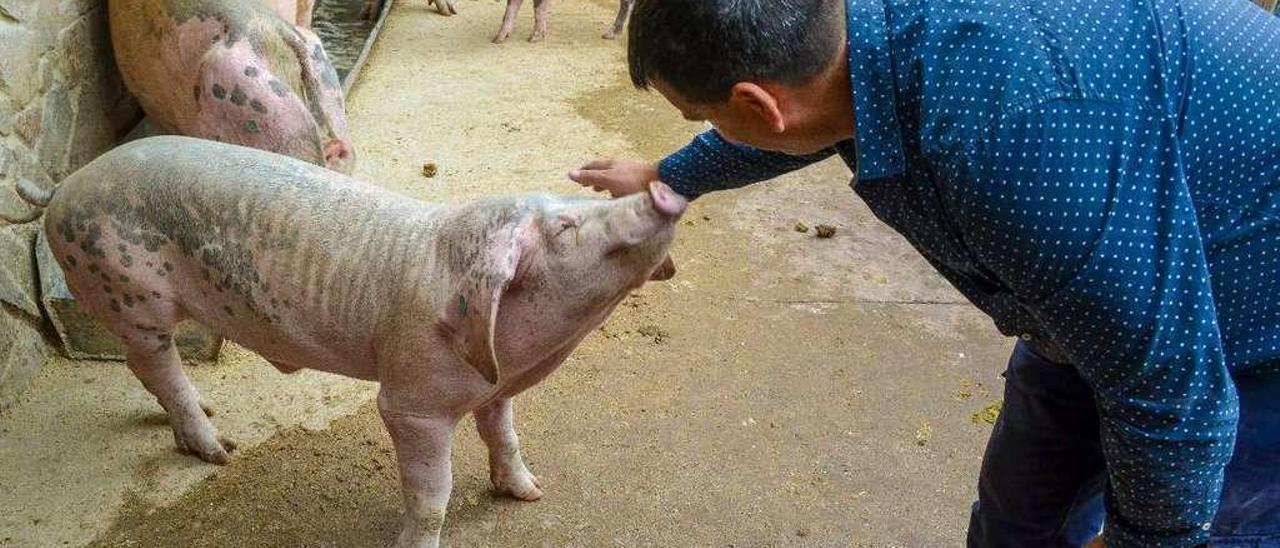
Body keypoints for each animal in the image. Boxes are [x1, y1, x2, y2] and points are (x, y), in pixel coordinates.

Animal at [10, 137, 686, 548]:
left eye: (575, 203)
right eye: (567, 228)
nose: (662, 189)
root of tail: (66, 185)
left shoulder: (497, 389)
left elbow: (505, 435)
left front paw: (528, 493)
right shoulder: (412, 401)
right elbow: (432, 493)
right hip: (127, 291)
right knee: (151, 365)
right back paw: (220, 449)